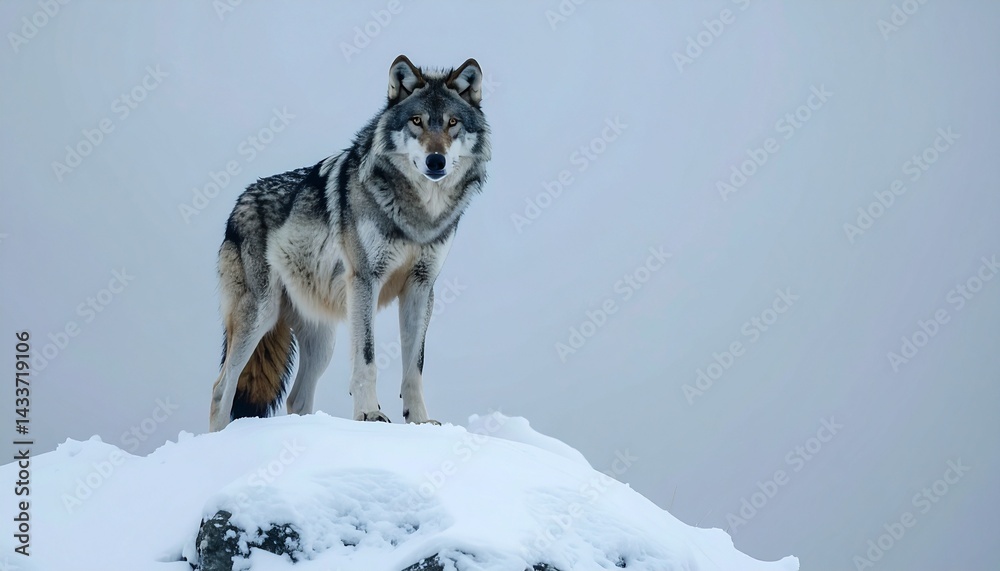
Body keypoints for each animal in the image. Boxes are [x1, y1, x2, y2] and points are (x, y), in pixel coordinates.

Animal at [208, 55, 490, 432]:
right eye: (416, 121)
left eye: (452, 123)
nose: (436, 161)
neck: (418, 216)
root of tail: (241, 200)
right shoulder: (365, 281)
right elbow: (367, 358)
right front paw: (369, 415)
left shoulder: (421, 287)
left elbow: (414, 367)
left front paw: (420, 422)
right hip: (260, 316)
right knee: (221, 387)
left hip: (321, 340)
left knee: (296, 399)